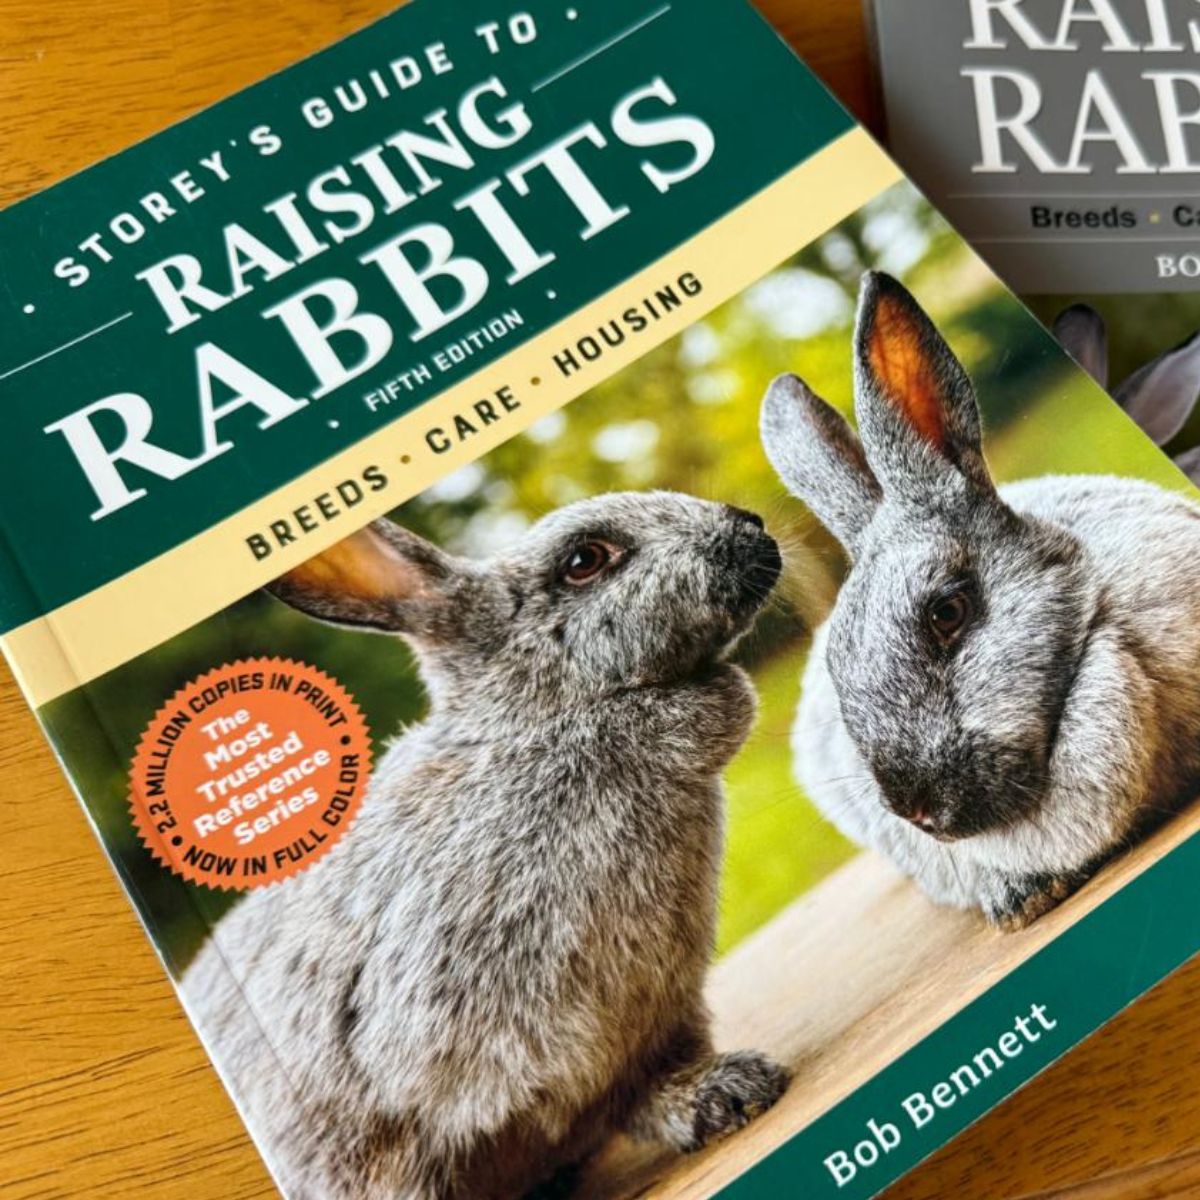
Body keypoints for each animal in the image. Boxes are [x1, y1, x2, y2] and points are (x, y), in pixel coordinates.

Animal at [182, 491, 788, 1200]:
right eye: (585, 560)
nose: (751, 527)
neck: (536, 726)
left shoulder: (653, 1024)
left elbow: (652, 1088)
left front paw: (728, 1093)